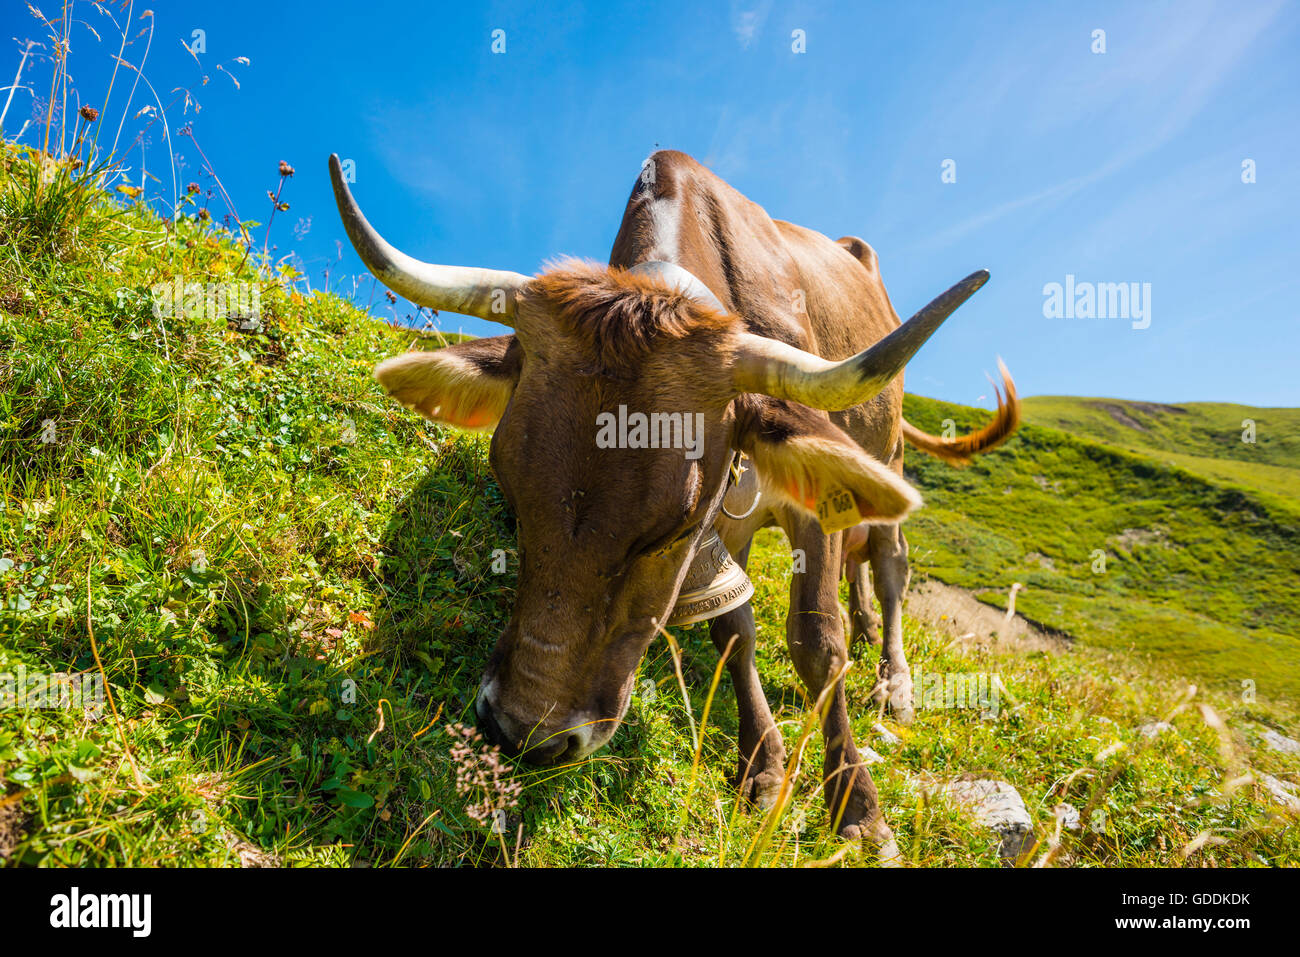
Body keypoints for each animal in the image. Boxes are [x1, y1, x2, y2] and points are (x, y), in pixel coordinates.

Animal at [330, 151, 1019, 858]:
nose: (527, 732)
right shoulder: (725, 534)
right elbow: (733, 632)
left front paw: (857, 804)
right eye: (510, 488)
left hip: (887, 454)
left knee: (887, 564)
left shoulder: (796, 505)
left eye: (671, 527)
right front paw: (762, 763)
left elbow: (817, 641)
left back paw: (894, 680)